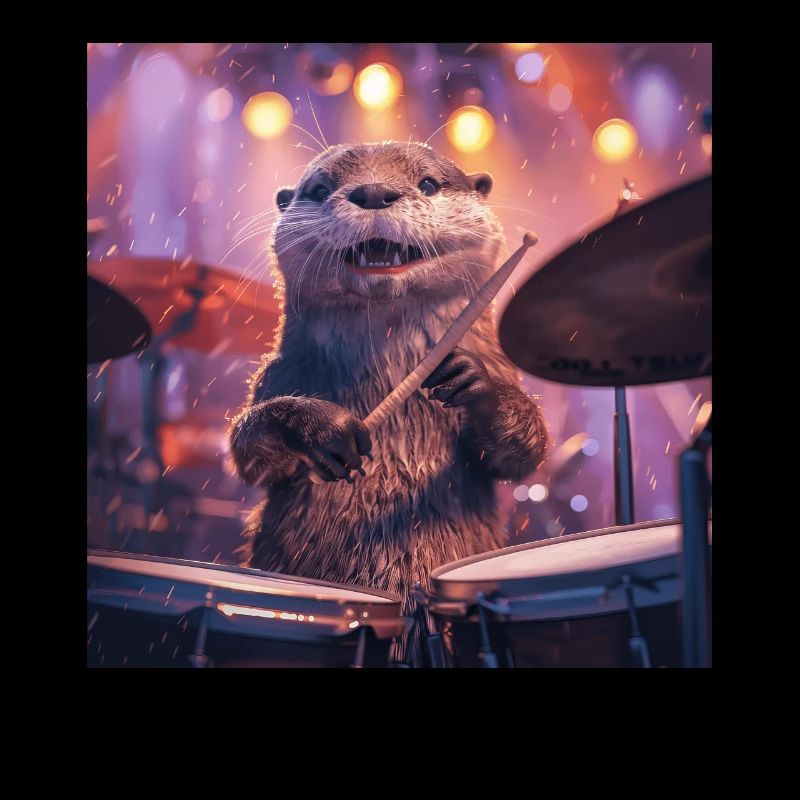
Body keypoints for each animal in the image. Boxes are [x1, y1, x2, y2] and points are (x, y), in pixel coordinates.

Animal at [229, 142, 548, 658]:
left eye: (429, 183)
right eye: (320, 188)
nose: (374, 192)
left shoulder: (501, 365)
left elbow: (521, 454)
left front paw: (471, 380)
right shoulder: (279, 373)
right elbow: (249, 451)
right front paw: (323, 428)